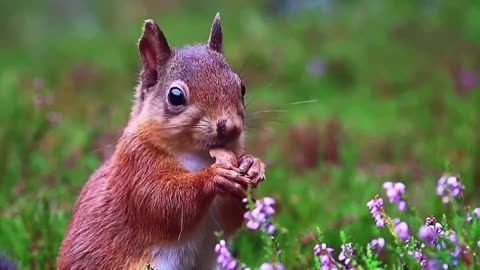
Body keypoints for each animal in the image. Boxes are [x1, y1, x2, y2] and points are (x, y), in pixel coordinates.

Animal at [57, 12, 266, 270]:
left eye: (242, 87)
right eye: (175, 96)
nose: (231, 128)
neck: (199, 156)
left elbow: (230, 218)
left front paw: (253, 165)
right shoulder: (136, 170)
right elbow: (163, 202)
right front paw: (213, 177)